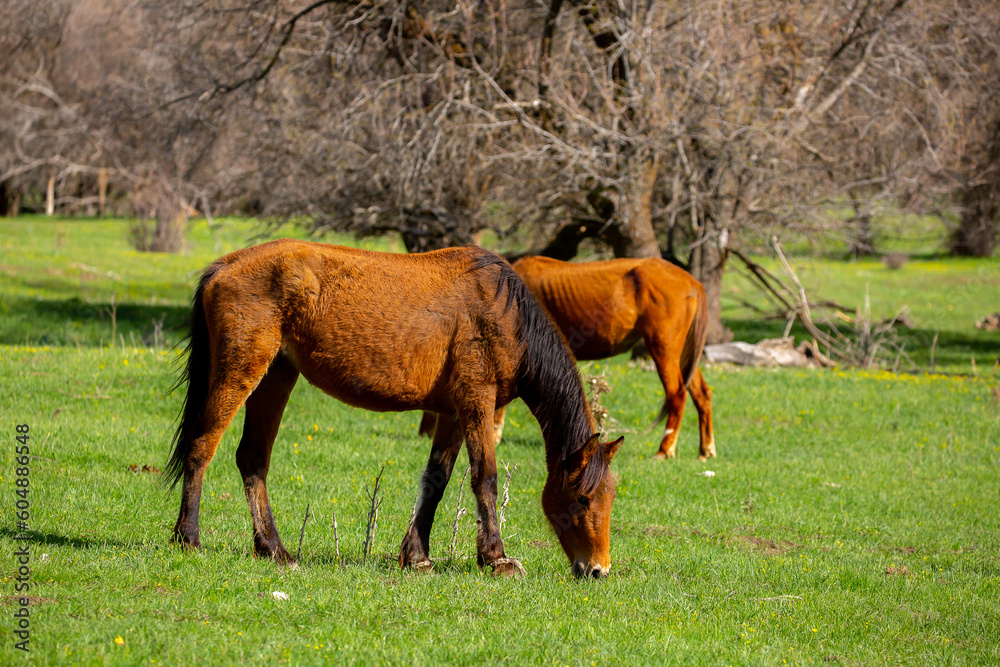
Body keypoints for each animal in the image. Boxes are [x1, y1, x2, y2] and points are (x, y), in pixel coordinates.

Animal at [166, 239, 623, 578]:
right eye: (583, 499)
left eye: (610, 496)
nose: (597, 569)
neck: (505, 313)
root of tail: (224, 265)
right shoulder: (477, 400)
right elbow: (485, 478)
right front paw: (496, 558)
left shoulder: (453, 412)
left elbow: (437, 480)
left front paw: (417, 555)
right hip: (241, 371)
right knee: (202, 447)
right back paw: (189, 537)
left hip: (276, 376)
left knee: (253, 459)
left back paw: (275, 550)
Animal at [506, 256, 715, 461]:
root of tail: (692, 281)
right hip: (682, 354)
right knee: (701, 393)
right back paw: (706, 450)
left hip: (663, 349)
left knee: (677, 394)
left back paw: (665, 449)